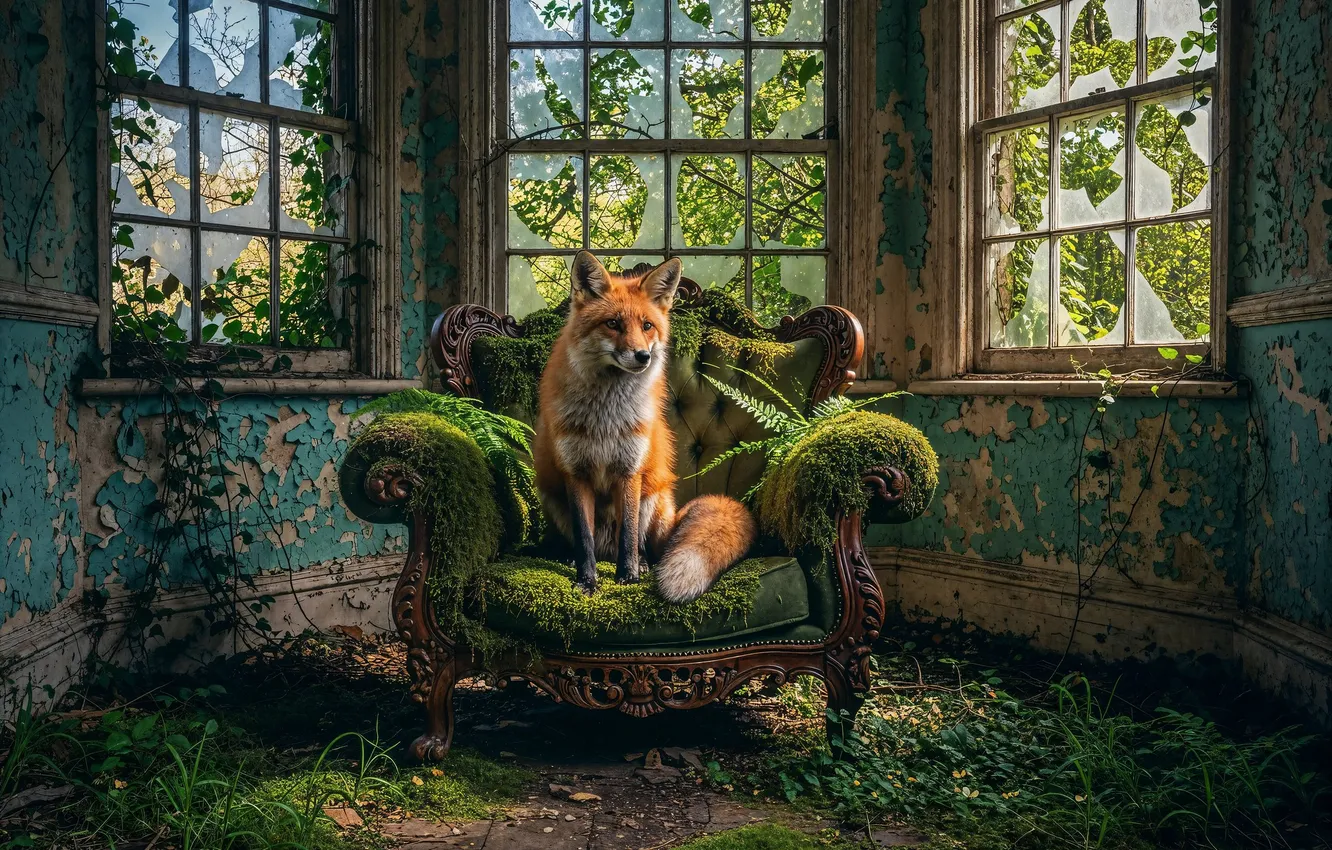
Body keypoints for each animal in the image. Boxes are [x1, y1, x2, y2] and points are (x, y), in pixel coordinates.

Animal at [532, 251, 756, 602]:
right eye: (612, 324)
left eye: (647, 326)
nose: (642, 356)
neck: (606, 419)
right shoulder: (576, 473)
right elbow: (584, 539)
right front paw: (587, 581)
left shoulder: (630, 471)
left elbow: (628, 535)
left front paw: (628, 577)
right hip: (552, 498)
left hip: (653, 499)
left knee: (645, 545)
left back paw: (645, 564)